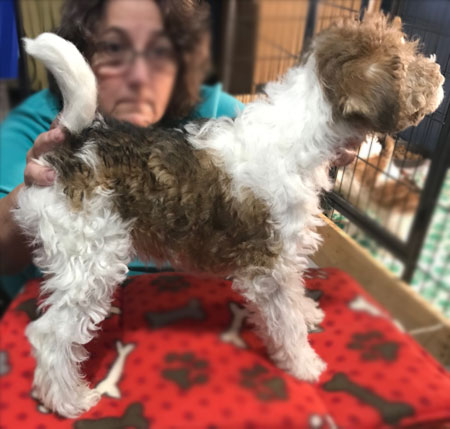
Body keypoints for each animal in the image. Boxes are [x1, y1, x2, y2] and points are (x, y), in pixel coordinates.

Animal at [14, 12, 444, 417]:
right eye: (405, 60)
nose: (439, 75)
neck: (304, 131)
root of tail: (74, 145)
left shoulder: (286, 253)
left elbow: (294, 297)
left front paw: (306, 312)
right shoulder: (268, 265)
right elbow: (285, 319)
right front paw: (304, 364)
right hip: (89, 262)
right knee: (48, 335)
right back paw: (68, 400)